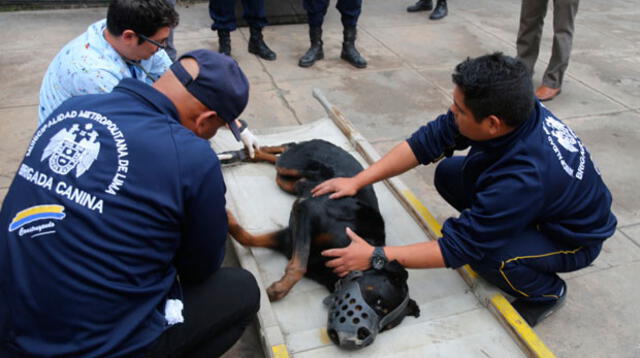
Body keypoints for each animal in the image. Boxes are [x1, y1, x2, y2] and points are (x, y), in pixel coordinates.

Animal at [225, 141, 420, 348]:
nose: (360, 338)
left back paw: (253, 153)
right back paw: (254, 150)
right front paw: (280, 289)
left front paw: (229, 221)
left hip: (287, 181)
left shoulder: (288, 239)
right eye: (379, 303)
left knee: (283, 161)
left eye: (385, 327)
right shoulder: (307, 211)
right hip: (293, 164)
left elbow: (247, 238)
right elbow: (298, 267)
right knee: (286, 150)